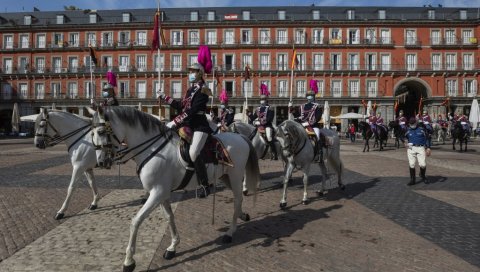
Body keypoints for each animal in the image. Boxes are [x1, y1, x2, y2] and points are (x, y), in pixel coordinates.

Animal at [87, 107, 258, 272]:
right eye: (92, 133)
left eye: (101, 132)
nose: (100, 162)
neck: (153, 149)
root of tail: (240, 137)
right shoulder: (162, 193)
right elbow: (169, 217)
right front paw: (173, 246)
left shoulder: (157, 193)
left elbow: (136, 221)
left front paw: (129, 261)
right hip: (225, 177)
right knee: (238, 200)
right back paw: (242, 215)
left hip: (235, 177)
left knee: (238, 198)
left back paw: (230, 233)